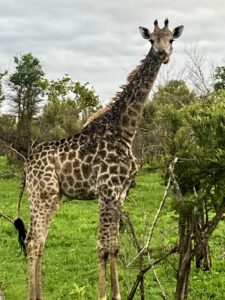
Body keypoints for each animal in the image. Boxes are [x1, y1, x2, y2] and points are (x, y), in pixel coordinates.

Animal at [16, 18, 184, 300]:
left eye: (171, 39)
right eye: (152, 40)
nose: (163, 55)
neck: (125, 130)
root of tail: (26, 166)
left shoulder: (121, 192)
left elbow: (114, 246)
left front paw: (115, 294)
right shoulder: (107, 189)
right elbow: (103, 247)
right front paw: (105, 295)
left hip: (53, 197)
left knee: (39, 242)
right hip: (42, 195)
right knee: (32, 242)